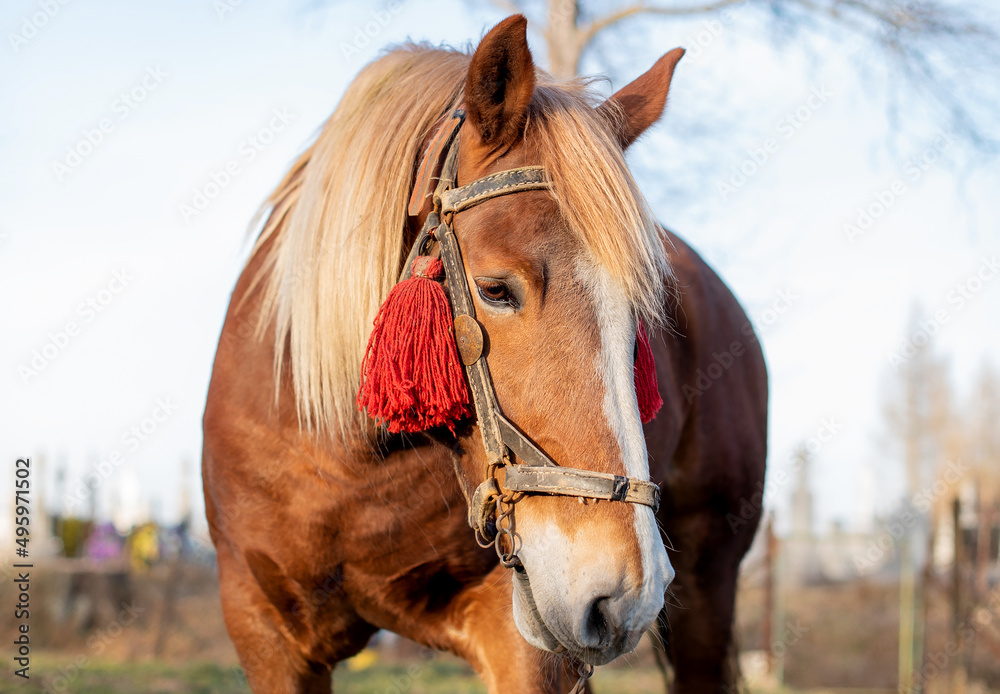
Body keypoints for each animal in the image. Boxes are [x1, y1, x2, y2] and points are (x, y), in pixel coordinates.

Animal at [203, 15, 767, 694]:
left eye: (642, 310)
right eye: (496, 290)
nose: (623, 594)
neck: (344, 455)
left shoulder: (522, 640)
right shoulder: (265, 634)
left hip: (708, 585)